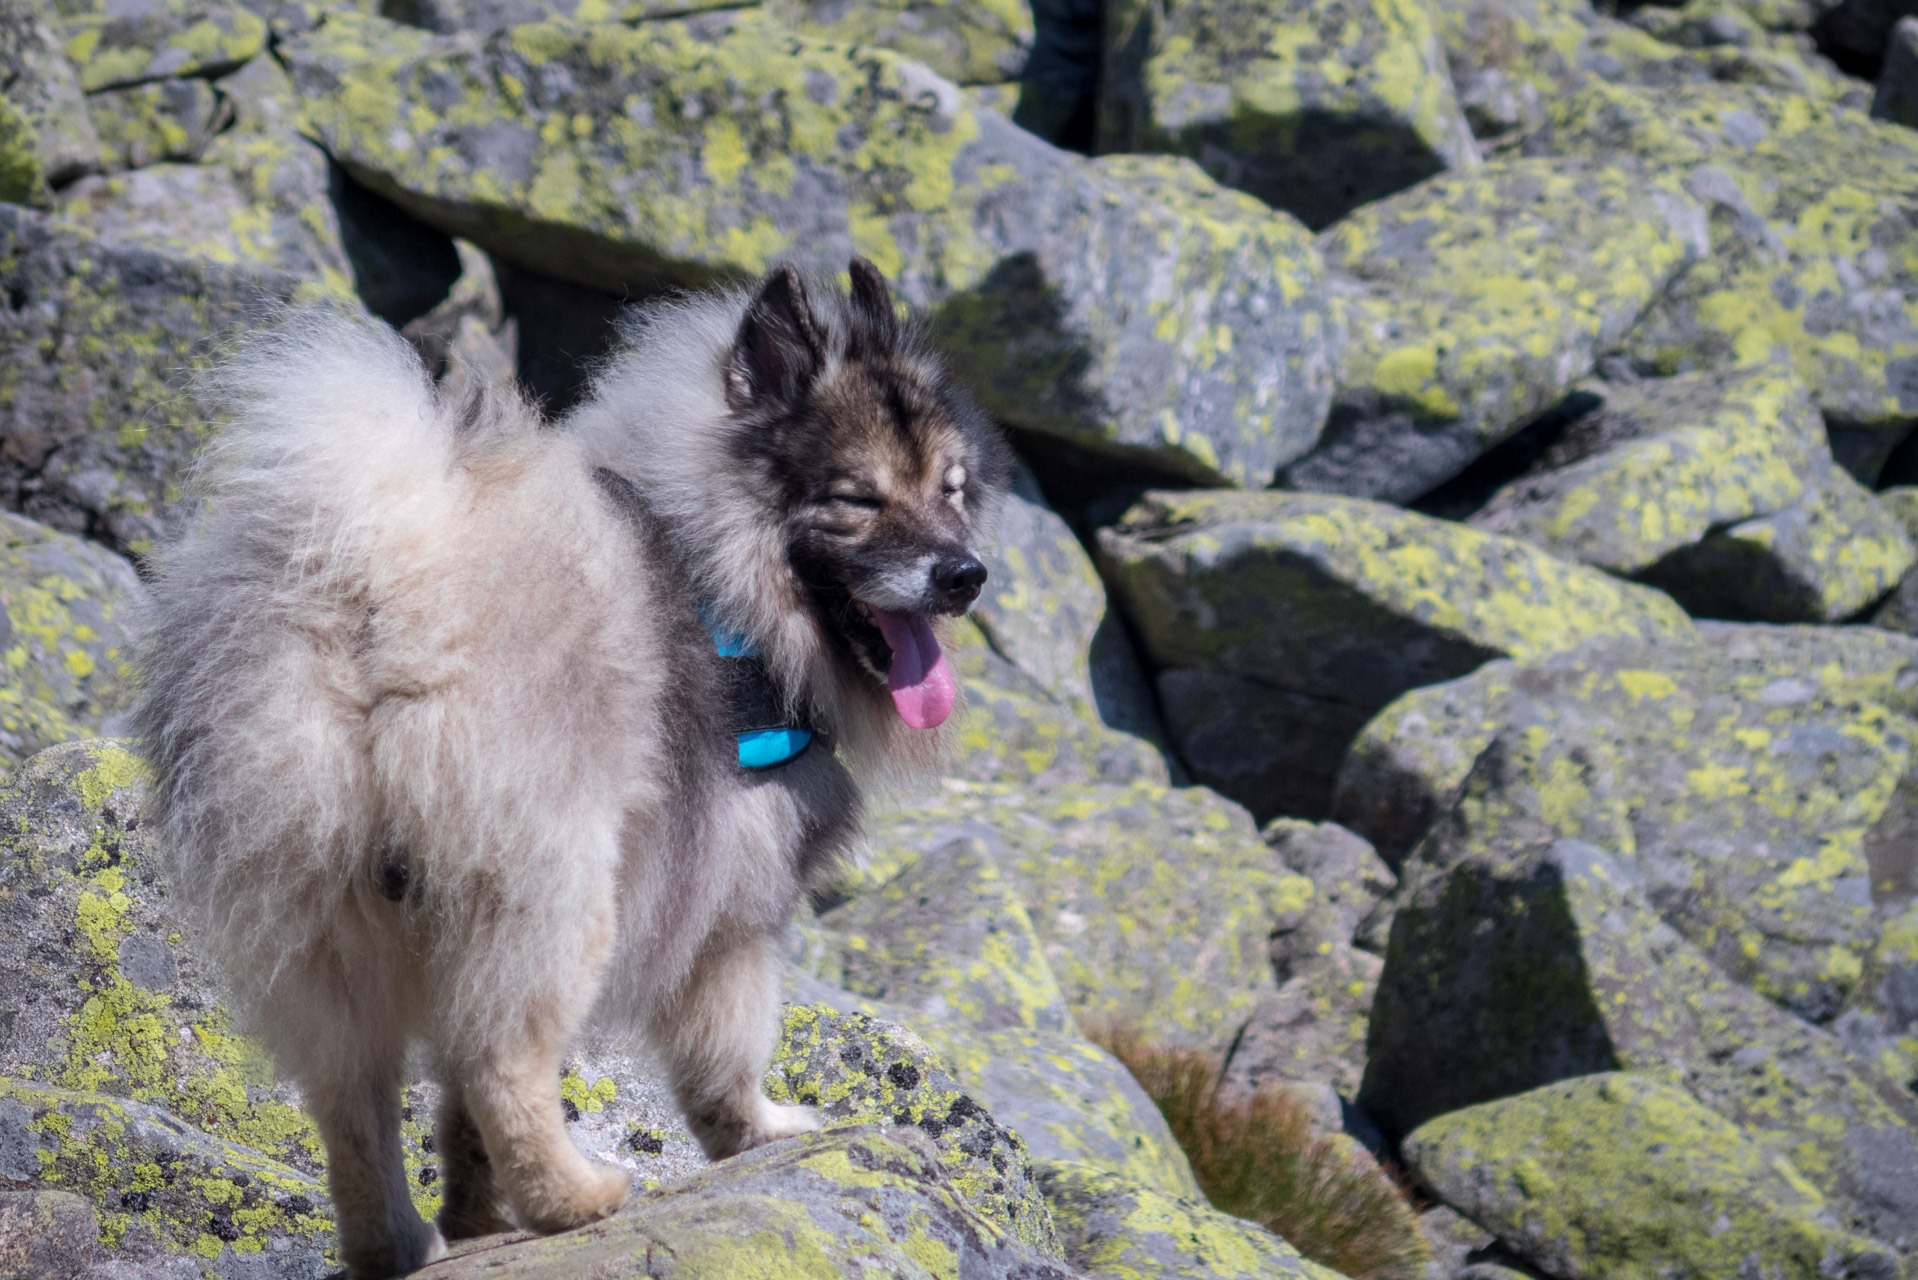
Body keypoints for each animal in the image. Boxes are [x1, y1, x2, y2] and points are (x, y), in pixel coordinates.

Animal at [133, 257, 1012, 1274]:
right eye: (859, 498)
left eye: (952, 489)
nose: (964, 574)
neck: (723, 567)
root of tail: (387, 572)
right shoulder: (738, 908)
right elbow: (727, 1057)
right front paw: (763, 1135)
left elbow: (451, 1116)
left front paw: (478, 1215)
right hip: (559, 892)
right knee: (502, 1062)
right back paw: (575, 1199)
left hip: (324, 911)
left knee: (353, 1094)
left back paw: (397, 1240)